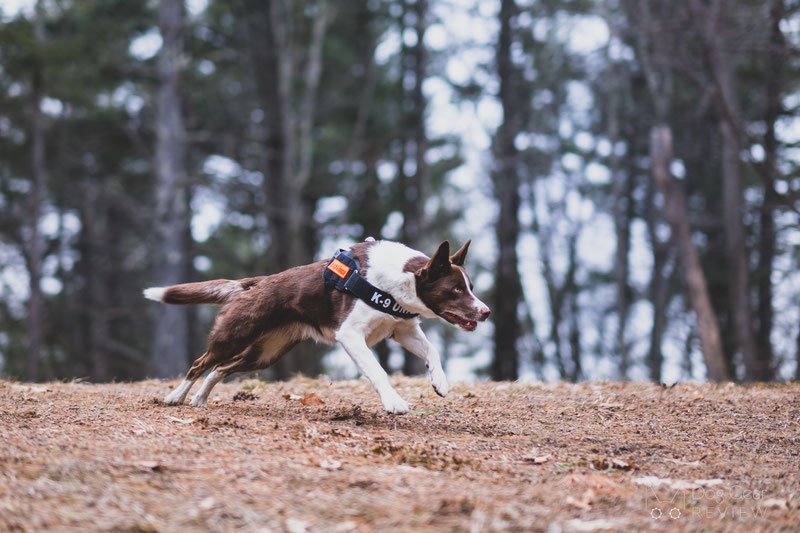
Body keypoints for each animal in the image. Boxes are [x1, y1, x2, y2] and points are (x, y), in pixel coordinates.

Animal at [146, 239, 490, 414]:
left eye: (470, 287)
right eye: (455, 290)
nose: (486, 312)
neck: (397, 281)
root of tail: (254, 284)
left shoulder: (403, 329)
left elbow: (432, 351)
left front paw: (439, 382)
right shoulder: (350, 335)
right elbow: (378, 371)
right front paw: (394, 402)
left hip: (265, 353)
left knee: (219, 369)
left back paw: (201, 399)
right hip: (235, 336)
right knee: (200, 363)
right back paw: (176, 397)